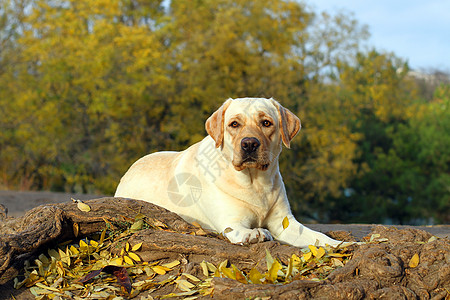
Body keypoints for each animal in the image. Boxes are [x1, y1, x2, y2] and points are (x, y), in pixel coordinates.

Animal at [116, 97, 342, 247]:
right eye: (234, 124)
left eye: (266, 123)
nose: (249, 144)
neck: (255, 183)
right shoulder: (231, 221)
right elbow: (241, 229)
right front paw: (255, 233)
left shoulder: (285, 224)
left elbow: (320, 238)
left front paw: (344, 245)